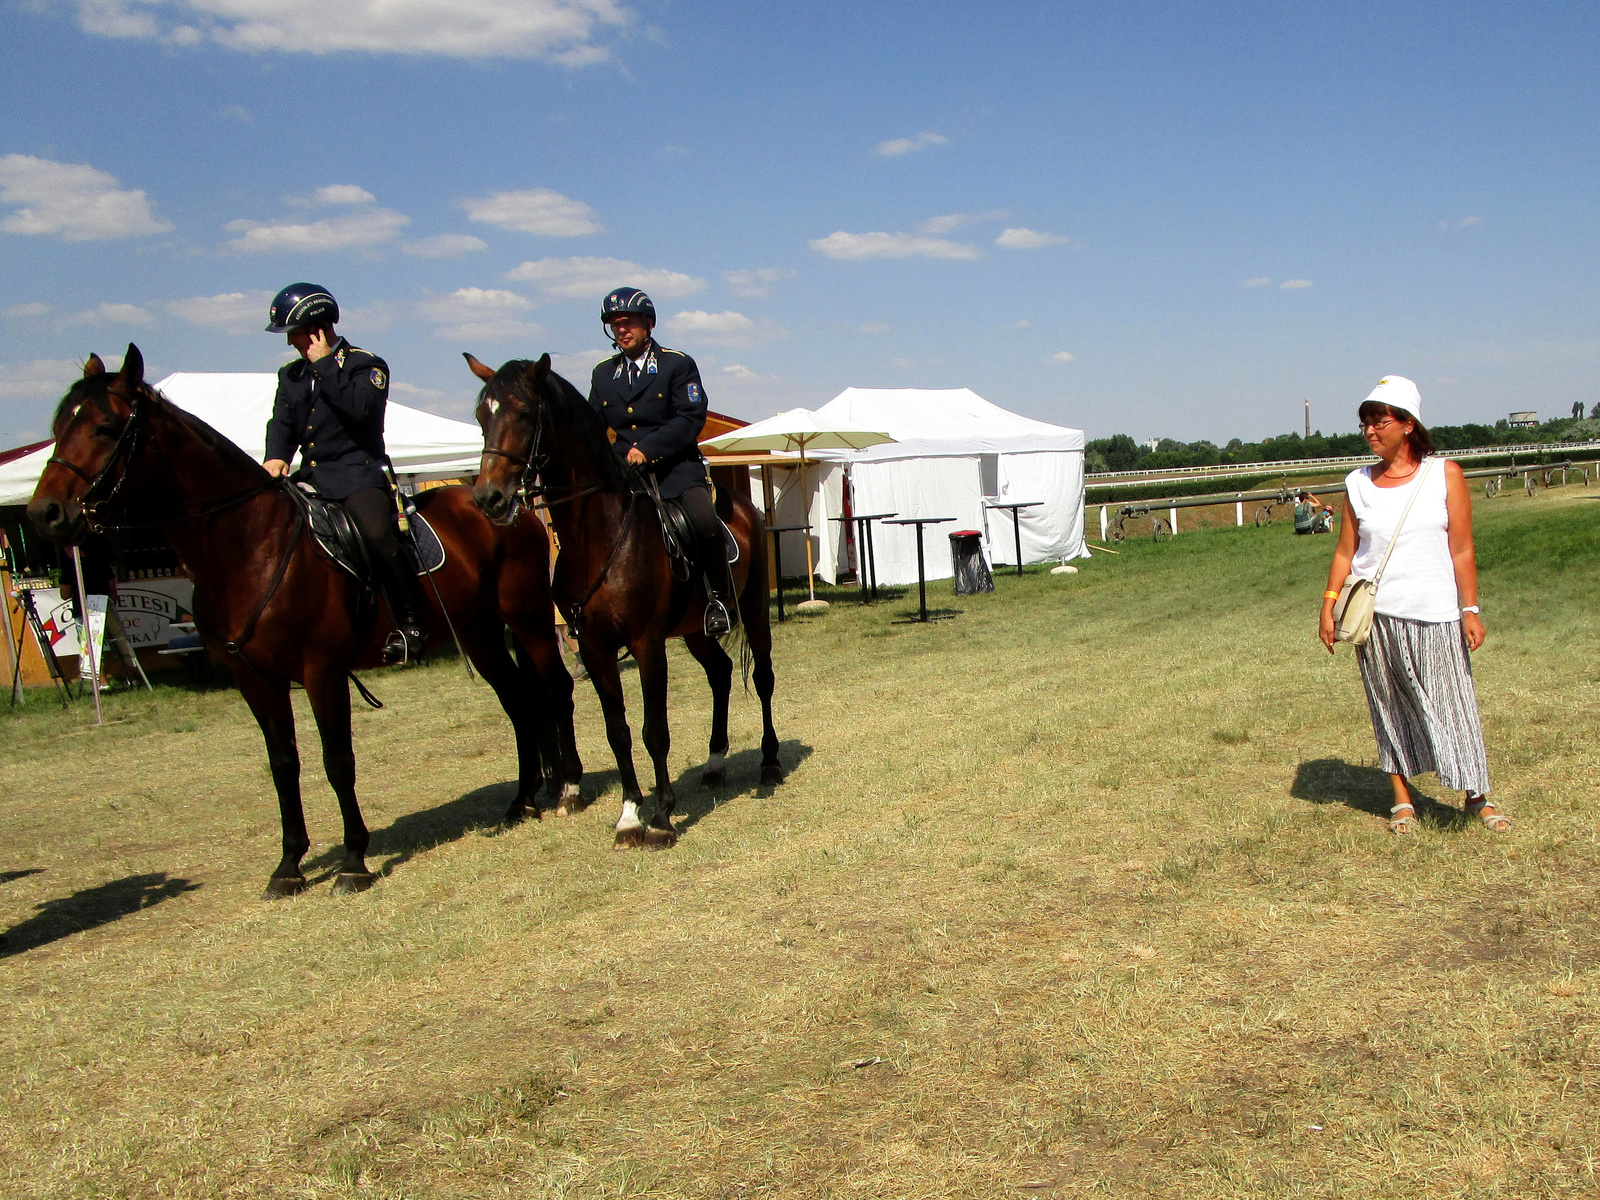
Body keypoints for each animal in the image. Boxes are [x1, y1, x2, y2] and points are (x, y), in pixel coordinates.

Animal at [25, 345, 585, 896]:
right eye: (58, 426)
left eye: (105, 427)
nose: (44, 513)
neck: (251, 547)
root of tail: (504, 505)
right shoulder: (255, 679)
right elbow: (283, 764)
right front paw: (289, 864)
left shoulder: (322, 671)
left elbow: (337, 761)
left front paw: (354, 861)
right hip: (478, 632)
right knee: (518, 701)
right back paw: (521, 800)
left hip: (530, 620)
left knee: (553, 686)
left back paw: (563, 786)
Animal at [467, 352, 784, 851]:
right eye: (482, 416)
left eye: (523, 413)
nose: (488, 498)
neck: (599, 535)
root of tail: (742, 504)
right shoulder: (595, 647)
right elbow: (618, 731)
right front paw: (630, 815)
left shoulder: (646, 642)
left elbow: (655, 731)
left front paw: (662, 818)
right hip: (694, 630)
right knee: (719, 673)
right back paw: (714, 763)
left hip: (752, 609)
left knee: (764, 677)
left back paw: (769, 762)